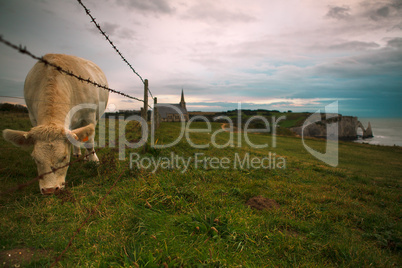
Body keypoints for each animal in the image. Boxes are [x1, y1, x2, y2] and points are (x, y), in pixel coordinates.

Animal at [2, 53, 109, 194]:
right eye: (35, 158)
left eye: (64, 157)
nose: (50, 189)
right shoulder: (33, 117)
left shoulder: (89, 116)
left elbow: (89, 142)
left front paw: (94, 161)